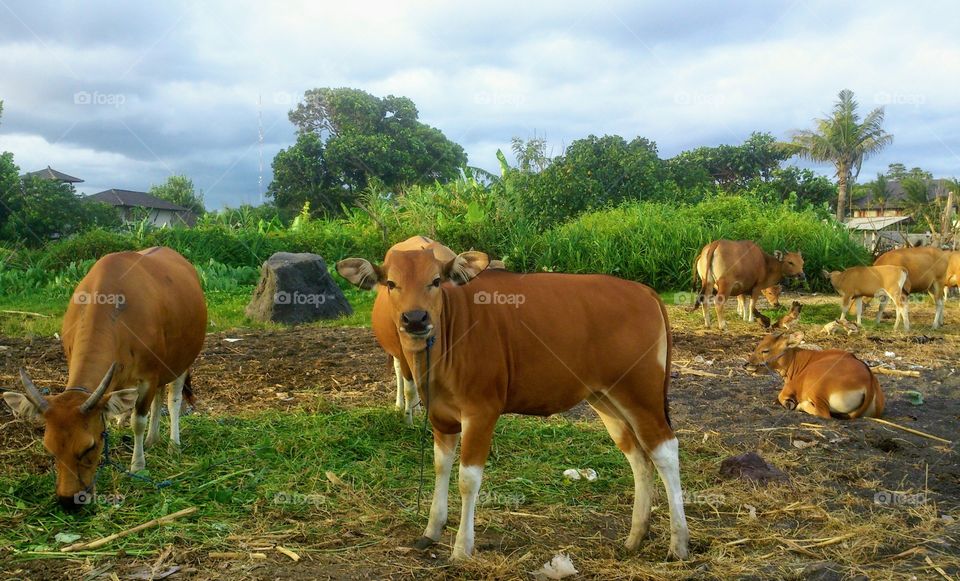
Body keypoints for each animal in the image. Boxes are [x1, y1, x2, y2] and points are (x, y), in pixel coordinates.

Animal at [2, 247, 206, 510]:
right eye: (49, 448)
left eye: (89, 446)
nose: (68, 500)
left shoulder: (148, 377)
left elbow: (138, 421)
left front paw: (137, 466)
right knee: (158, 398)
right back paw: (153, 439)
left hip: (182, 361)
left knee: (172, 401)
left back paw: (173, 444)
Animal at [334, 249, 688, 560]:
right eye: (391, 283)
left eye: (435, 280)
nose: (416, 319)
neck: (448, 340)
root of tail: (645, 292)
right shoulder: (441, 417)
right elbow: (440, 467)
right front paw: (431, 530)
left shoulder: (481, 412)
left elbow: (468, 479)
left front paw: (462, 548)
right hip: (605, 397)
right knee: (639, 458)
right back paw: (635, 537)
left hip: (640, 393)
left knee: (665, 451)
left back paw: (678, 544)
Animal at [744, 328, 884, 420]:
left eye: (765, 350)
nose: (746, 364)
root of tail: (869, 381)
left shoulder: (791, 387)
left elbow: (781, 396)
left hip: (816, 391)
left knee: (824, 414)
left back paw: (801, 405)